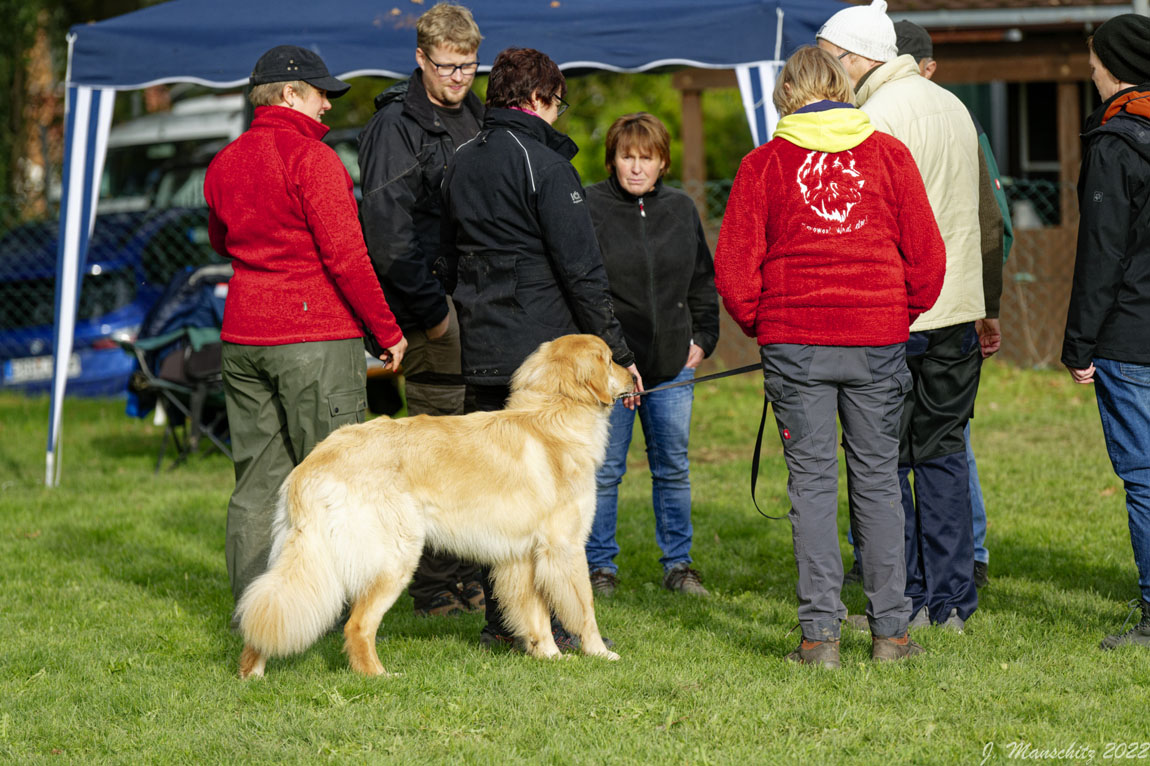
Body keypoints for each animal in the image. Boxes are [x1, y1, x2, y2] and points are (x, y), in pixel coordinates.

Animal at [233, 333, 634, 676]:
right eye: (611, 359)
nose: (633, 376)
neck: (554, 413)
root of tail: (313, 463)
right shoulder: (565, 548)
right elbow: (584, 610)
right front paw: (600, 653)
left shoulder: (522, 556)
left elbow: (536, 615)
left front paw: (550, 656)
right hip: (395, 557)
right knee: (357, 626)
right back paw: (379, 676)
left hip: (308, 559)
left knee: (268, 609)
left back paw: (252, 673)